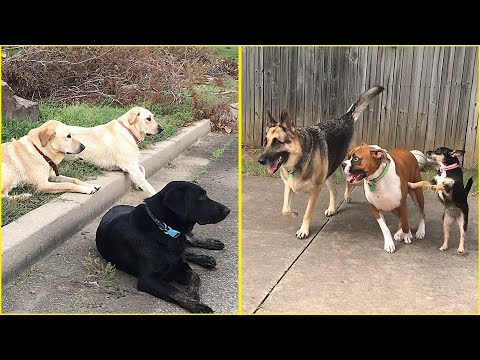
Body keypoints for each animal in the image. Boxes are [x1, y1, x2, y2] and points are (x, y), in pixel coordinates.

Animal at [95, 180, 231, 312]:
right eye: (201, 196)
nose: (228, 210)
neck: (162, 227)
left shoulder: (180, 266)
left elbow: (196, 276)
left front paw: (193, 294)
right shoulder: (149, 279)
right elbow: (176, 291)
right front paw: (198, 305)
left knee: (189, 244)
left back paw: (209, 249)